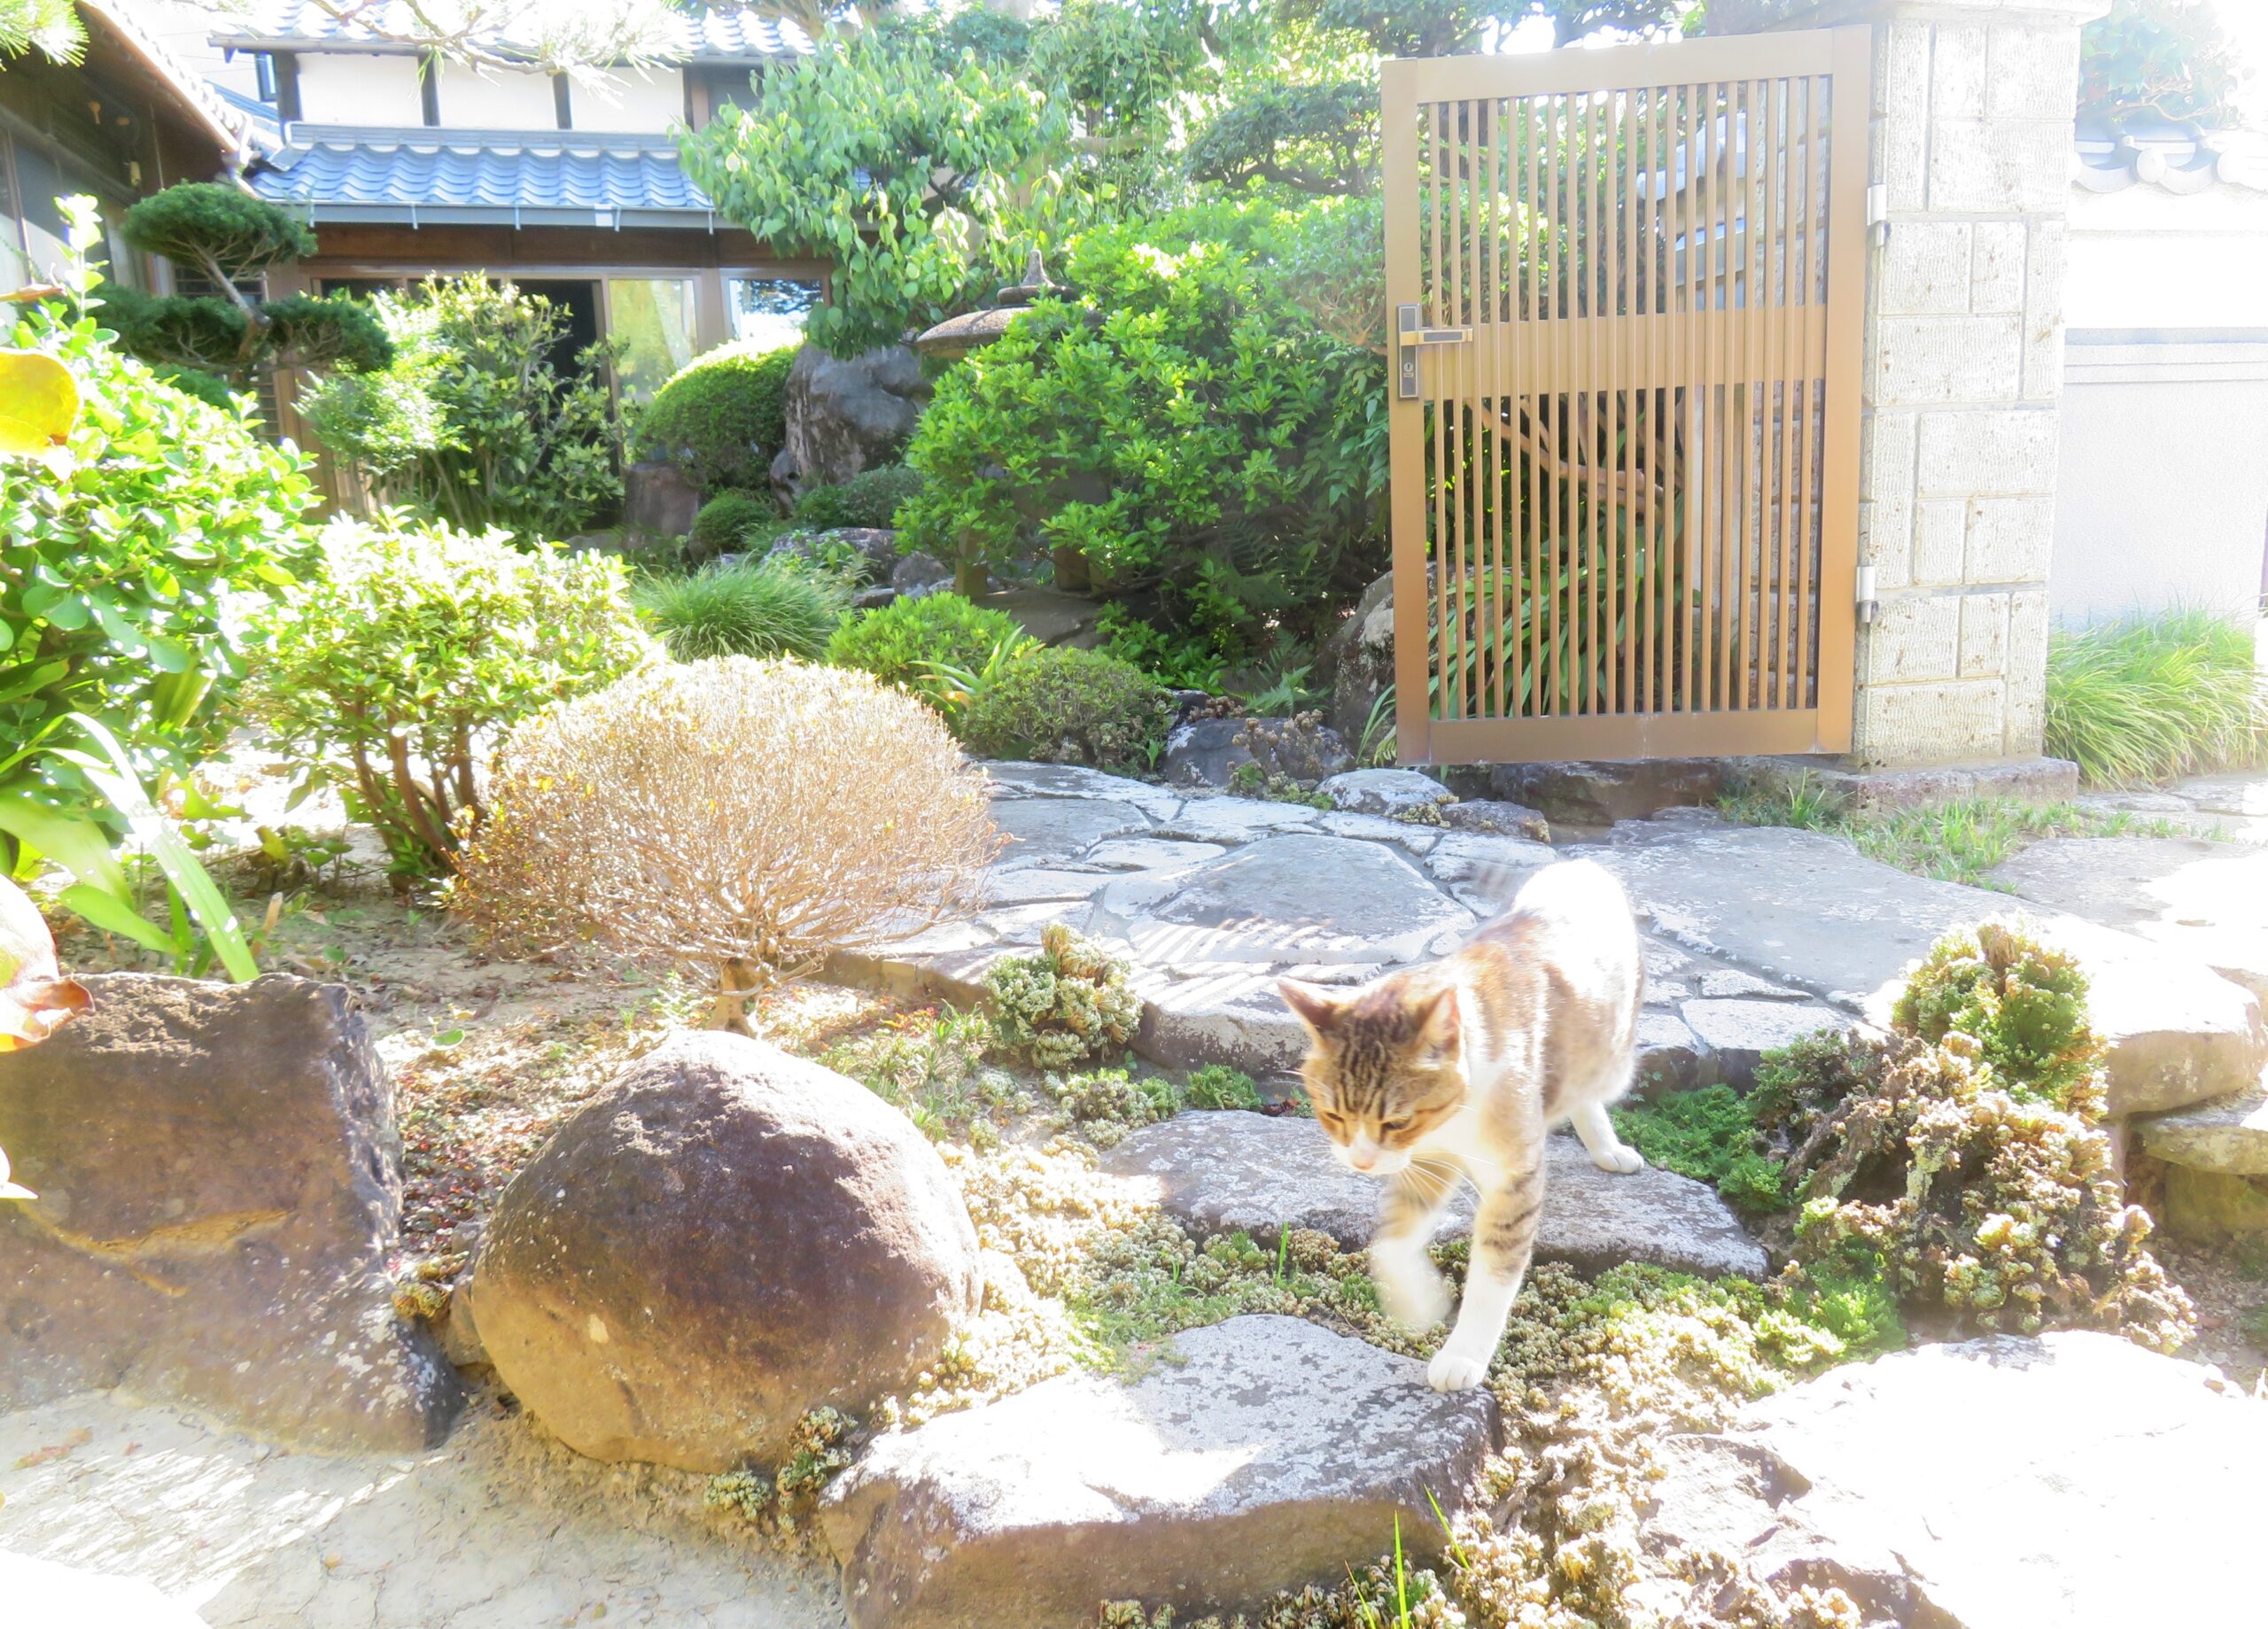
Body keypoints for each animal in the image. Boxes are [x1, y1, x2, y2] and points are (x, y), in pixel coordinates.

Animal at [1278, 862, 1651, 1397]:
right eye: (1334, 1116)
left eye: (1396, 1120)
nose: (1361, 1162)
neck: (1455, 1119)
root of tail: (1580, 865)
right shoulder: (1428, 1159)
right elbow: (1390, 1244)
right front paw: (1420, 1304)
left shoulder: (1513, 1179)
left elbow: (1493, 1276)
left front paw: (1463, 1354)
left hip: (1614, 1056)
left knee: (1589, 1088)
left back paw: (1607, 1146)